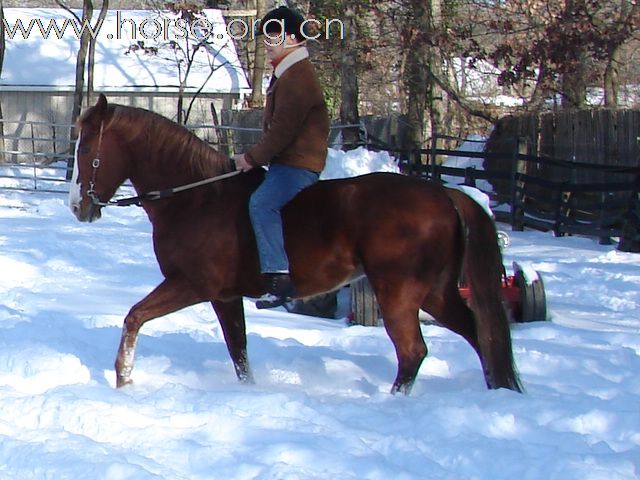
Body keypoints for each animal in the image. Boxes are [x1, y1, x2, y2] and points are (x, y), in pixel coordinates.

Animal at [70, 94, 520, 394]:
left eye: (87, 147)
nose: (77, 206)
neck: (197, 198)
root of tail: (444, 194)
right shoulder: (225, 297)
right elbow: (239, 352)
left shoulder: (193, 285)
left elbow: (134, 317)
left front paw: (124, 378)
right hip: (437, 293)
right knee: (481, 335)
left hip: (400, 293)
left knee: (413, 351)